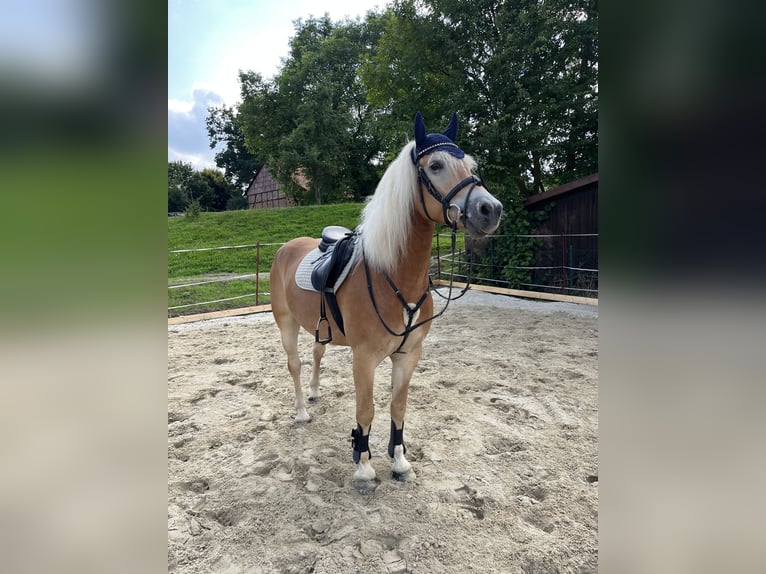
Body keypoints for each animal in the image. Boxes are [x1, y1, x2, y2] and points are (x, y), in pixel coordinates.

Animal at [269, 112, 503, 488]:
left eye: (470, 165)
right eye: (435, 165)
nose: (490, 209)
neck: (393, 276)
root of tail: (286, 247)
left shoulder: (408, 356)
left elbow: (398, 408)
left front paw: (399, 462)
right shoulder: (364, 358)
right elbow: (366, 411)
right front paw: (364, 467)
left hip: (320, 327)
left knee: (316, 354)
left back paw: (315, 393)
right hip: (286, 324)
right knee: (295, 365)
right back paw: (302, 411)